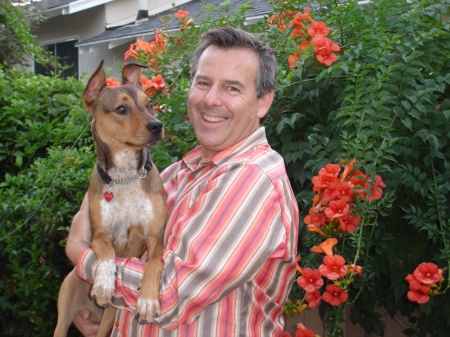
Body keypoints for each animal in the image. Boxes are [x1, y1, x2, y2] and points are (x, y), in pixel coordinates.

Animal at [54, 61, 167, 336]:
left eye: (150, 104)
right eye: (121, 109)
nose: (157, 126)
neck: (125, 177)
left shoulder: (154, 237)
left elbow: (154, 263)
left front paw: (147, 301)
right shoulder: (100, 233)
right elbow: (106, 252)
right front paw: (104, 284)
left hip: (110, 317)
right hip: (67, 299)